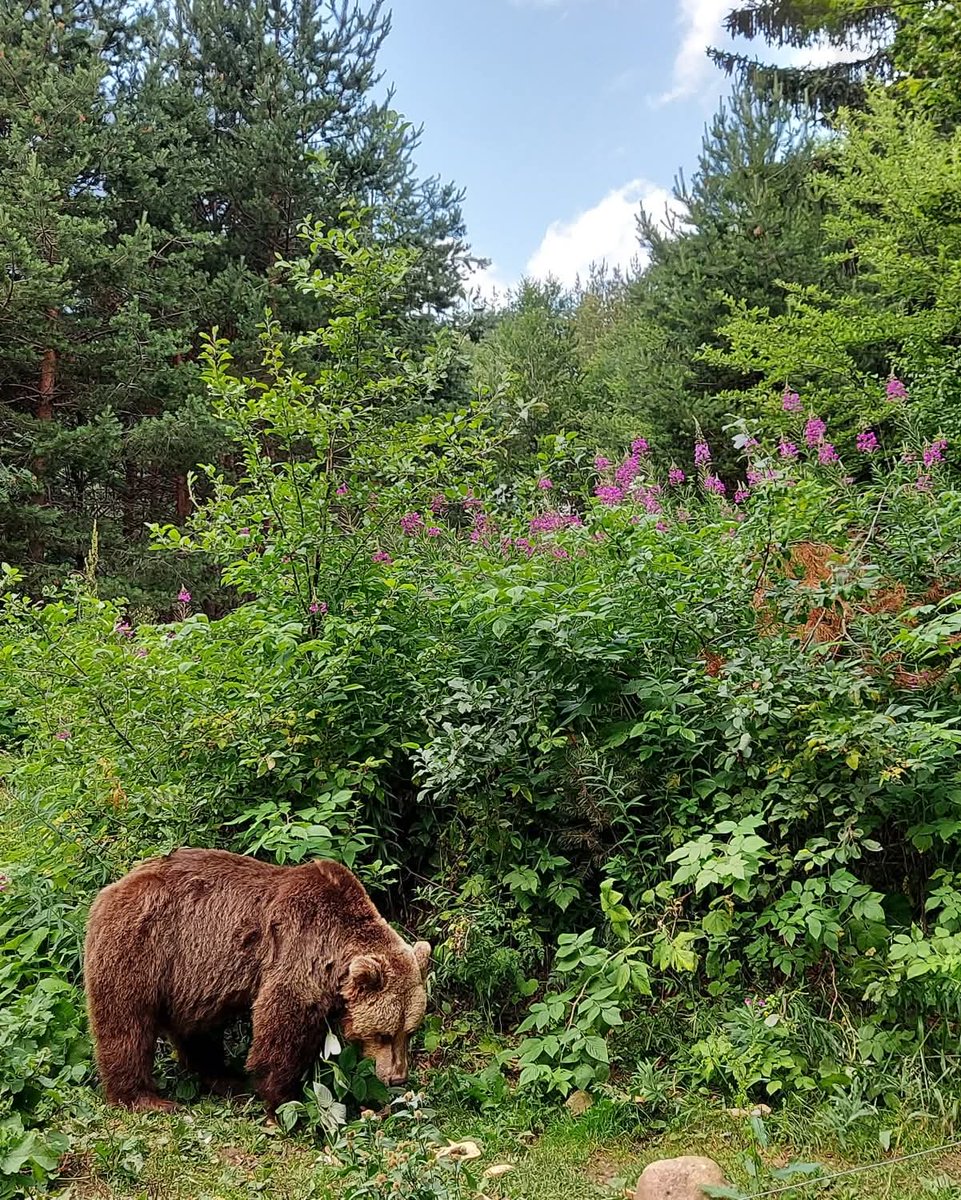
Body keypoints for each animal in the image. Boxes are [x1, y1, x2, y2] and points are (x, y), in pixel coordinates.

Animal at [83, 848, 431, 1115]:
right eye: (383, 1033)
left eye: (409, 1031)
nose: (397, 1077)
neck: (336, 953)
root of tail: (112, 887)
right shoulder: (299, 951)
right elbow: (281, 1026)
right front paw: (283, 1100)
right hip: (141, 946)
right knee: (127, 1024)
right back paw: (143, 1098)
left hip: (193, 977)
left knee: (198, 1030)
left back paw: (225, 1079)